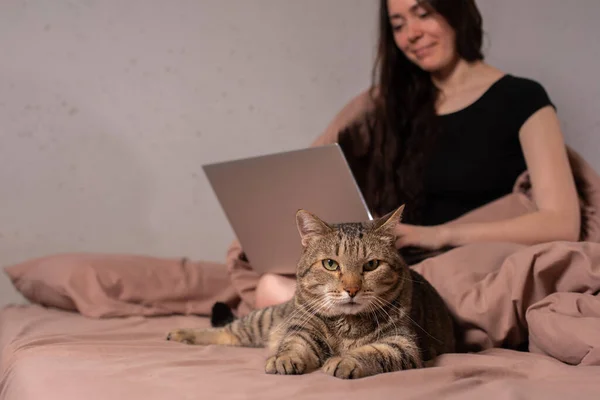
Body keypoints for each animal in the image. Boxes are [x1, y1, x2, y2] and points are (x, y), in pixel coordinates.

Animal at [165, 205, 454, 380]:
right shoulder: (302, 330)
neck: (346, 326)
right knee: (226, 331)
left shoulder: (403, 344)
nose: (352, 289)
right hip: (263, 321)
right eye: (330, 264)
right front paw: (284, 359)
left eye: (371, 265)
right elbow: (294, 346)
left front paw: (344, 360)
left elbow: (373, 352)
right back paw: (180, 333)